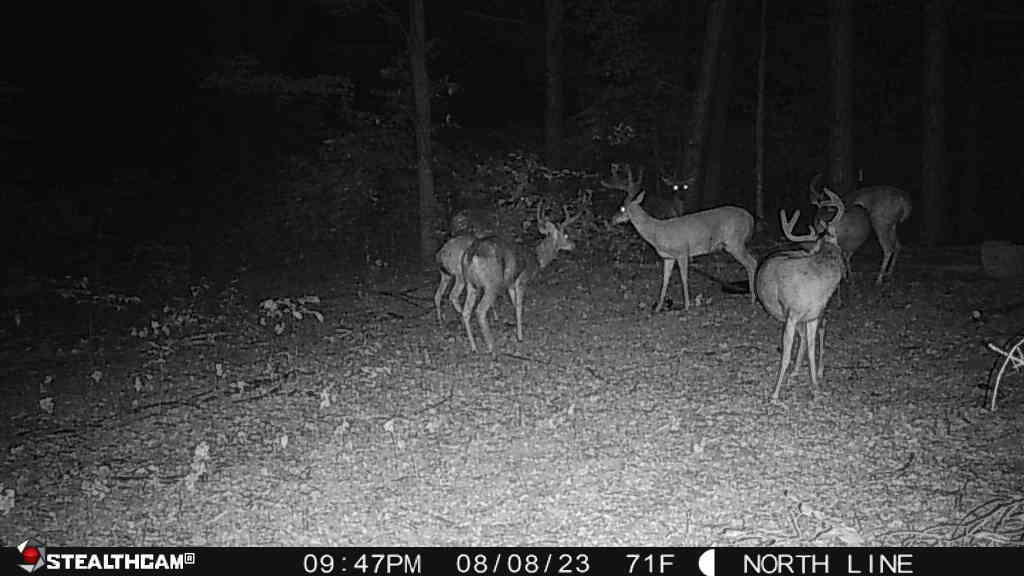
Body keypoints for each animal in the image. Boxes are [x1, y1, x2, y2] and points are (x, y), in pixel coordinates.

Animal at [459, 205, 578, 354]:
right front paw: (520, 337)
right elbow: (520, 306)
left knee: (466, 312)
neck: (536, 259)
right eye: (566, 234)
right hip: (492, 284)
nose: (573, 245)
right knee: (480, 311)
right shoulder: (522, 280)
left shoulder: (510, 284)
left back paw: (474, 347)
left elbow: (514, 305)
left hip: (470, 283)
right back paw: (492, 348)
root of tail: (471, 255)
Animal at [602, 164, 757, 311]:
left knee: (752, 263)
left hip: (735, 242)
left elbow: (683, 278)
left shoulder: (682, 252)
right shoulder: (668, 257)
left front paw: (687, 305)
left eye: (622, 208)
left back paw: (753, 298)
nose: (612, 219)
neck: (656, 231)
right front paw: (658, 308)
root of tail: (750, 219)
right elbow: (665, 281)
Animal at [756, 188, 847, 403]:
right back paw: (793, 373)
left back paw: (799, 373)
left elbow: (811, 350)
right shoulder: (792, 313)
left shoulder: (813, 316)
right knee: (802, 338)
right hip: (789, 316)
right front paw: (775, 394)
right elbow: (786, 354)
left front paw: (815, 389)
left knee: (809, 336)